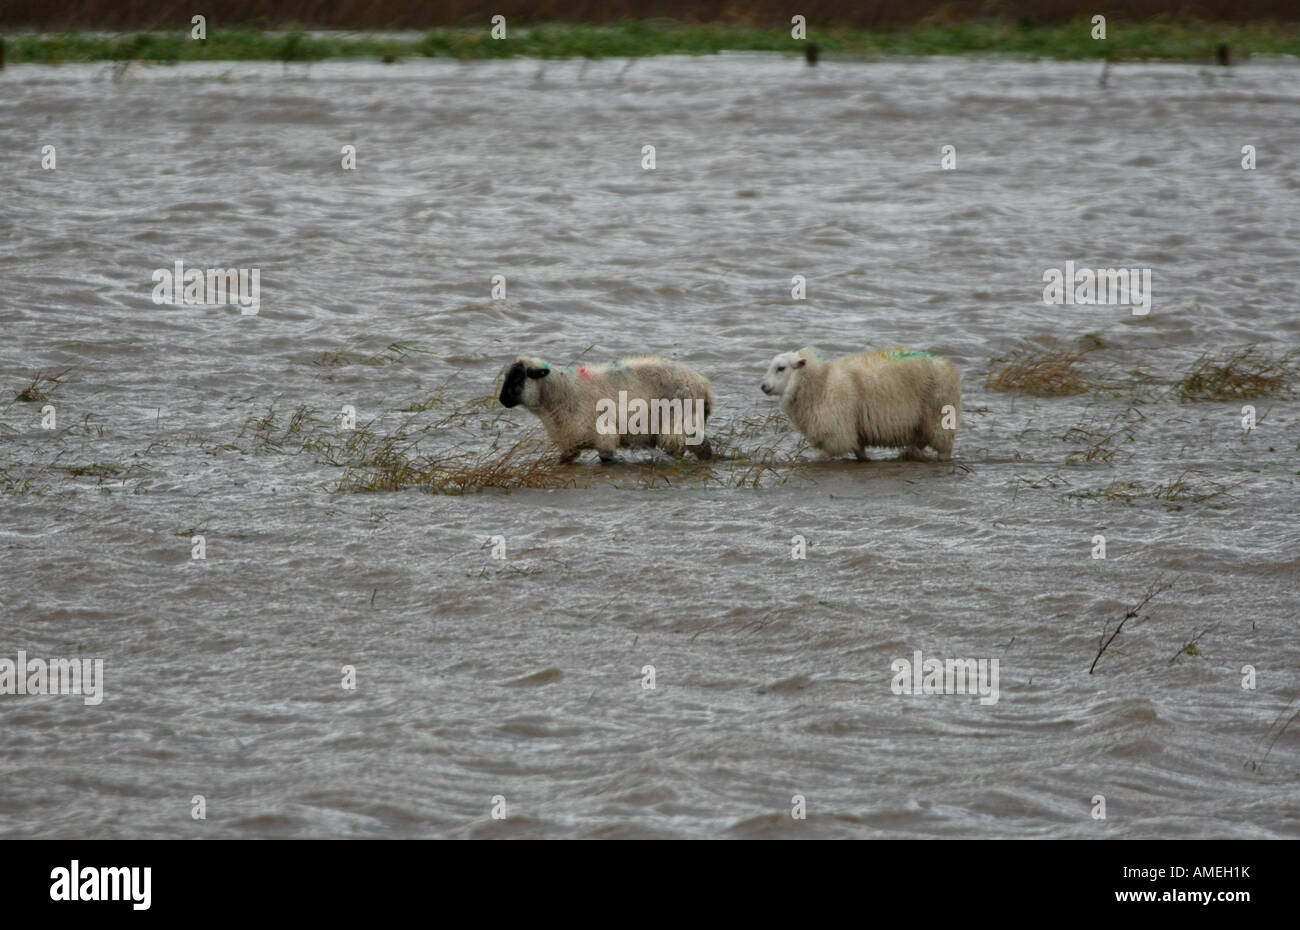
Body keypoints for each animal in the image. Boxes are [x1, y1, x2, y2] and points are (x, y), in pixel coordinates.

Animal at [499, 353, 722, 463]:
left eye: (518, 378)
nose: (502, 400)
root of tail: (705, 387)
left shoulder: (604, 437)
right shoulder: (569, 443)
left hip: (677, 420)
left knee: (678, 448)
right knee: (702, 447)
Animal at [759, 345, 961, 463]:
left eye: (781, 368)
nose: (763, 386)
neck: (822, 383)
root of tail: (946, 364)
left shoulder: (836, 433)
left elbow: (823, 456)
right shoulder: (854, 433)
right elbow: (860, 453)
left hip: (940, 419)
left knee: (944, 450)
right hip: (922, 424)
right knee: (919, 442)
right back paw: (908, 454)